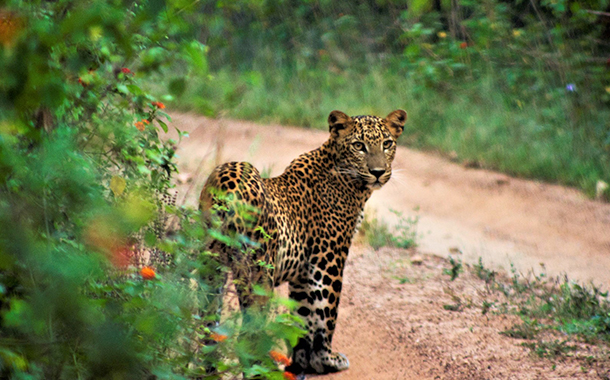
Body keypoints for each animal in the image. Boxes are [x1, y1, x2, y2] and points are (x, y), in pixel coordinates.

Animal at [200, 108, 406, 376]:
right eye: (359, 146)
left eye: (387, 144)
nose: (378, 172)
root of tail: (227, 184)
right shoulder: (329, 260)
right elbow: (327, 311)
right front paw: (327, 359)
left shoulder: (303, 269)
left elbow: (303, 314)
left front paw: (303, 360)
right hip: (258, 273)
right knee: (249, 333)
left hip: (211, 267)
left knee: (206, 325)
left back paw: (207, 370)